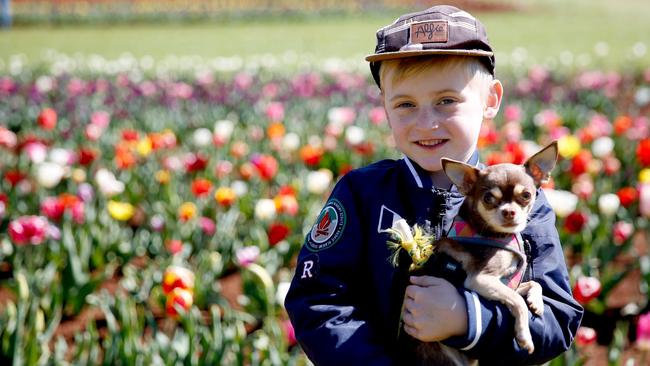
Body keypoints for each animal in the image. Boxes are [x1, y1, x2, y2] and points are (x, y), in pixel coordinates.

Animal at [390, 142, 556, 364]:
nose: (509, 212)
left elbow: (532, 284)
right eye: (488, 198)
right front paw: (524, 336)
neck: (496, 235)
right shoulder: (480, 280)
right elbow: (518, 302)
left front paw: (536, 301)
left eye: (526, 195)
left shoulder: (507, 284)